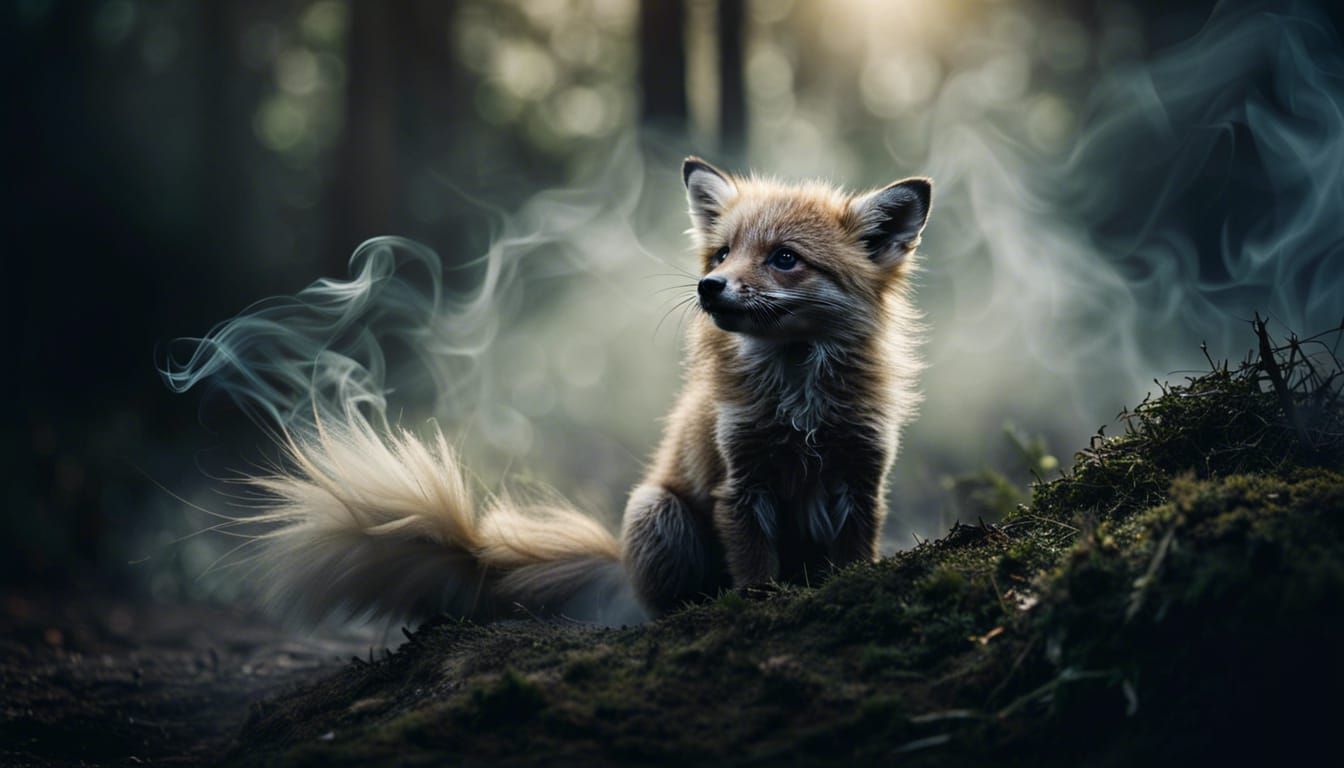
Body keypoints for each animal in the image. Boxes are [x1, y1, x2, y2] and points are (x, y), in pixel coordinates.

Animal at [216, 158, 932, 626]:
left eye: (784, 258)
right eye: (722, 254)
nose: (709, 288)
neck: (800, 406)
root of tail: (619, 562)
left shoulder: (862, 477)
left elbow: (852, 557)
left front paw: (843, 592)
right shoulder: (742, 482)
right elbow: (755, 572)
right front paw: (760, 609)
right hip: (657, 510)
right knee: (661, 606)